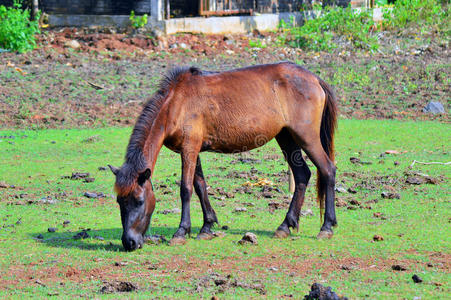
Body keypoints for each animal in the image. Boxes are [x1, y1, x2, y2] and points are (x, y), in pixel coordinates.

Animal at [107, 61, 338, 251]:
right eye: (119, 201)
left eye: (139, 201)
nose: (129, 242)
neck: (176, 103)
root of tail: (314, 78)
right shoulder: (191, 150)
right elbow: (200, 186)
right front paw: (206, 227)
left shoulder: (189, 148)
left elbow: (186, 188)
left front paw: (181, 232)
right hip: (286, 137)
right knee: (302, 175)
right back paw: (285, 226)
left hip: (306, 137)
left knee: (327, 170)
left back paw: (326, 227)